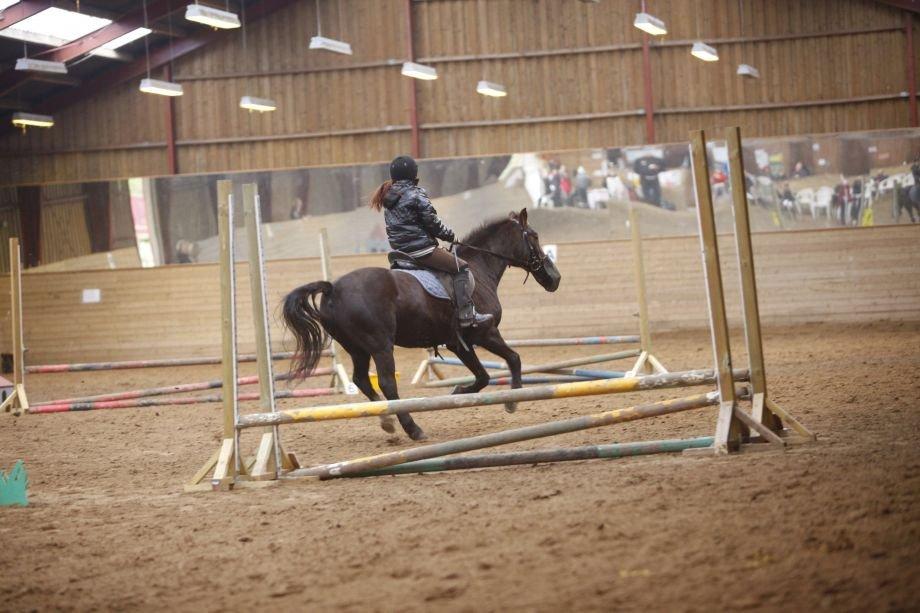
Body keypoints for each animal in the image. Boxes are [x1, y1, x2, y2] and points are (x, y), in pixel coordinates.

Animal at [281, 209, 562, 441]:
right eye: (534, 236)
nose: (555, 278)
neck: (479, 270)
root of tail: (333, 288)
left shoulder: (459, 343)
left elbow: (482, 376)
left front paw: (458, 392)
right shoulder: (486, 333)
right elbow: (514, 358)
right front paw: (513, 399)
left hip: (357, 349)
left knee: (362, 380)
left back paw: (387, 421)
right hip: (380, 346)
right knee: (386, 383)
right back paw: (412, 428)